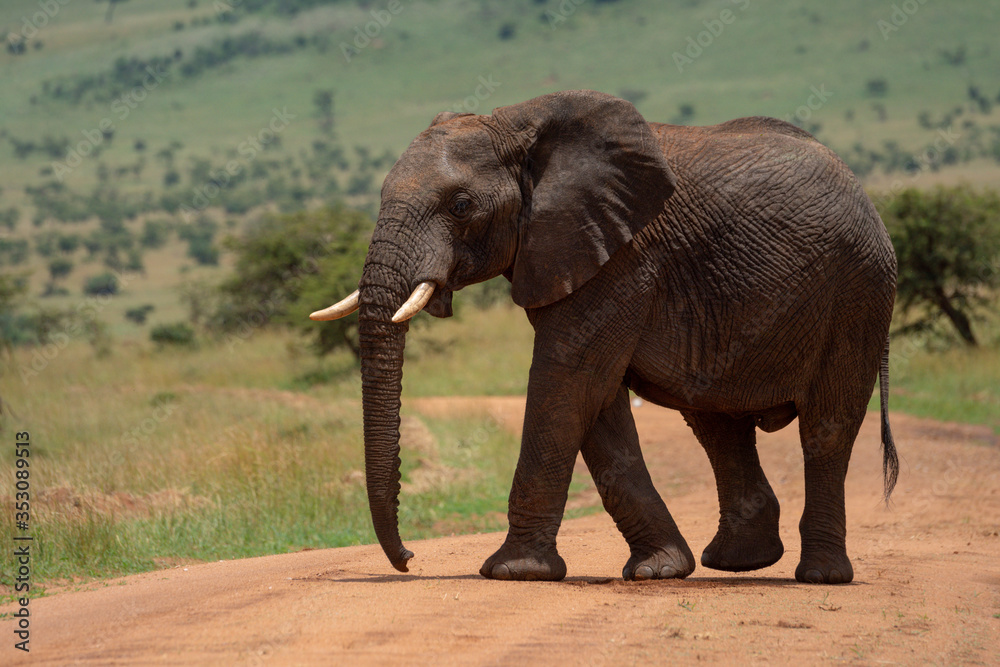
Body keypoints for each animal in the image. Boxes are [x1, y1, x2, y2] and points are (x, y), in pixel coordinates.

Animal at [311, 90, 899, 585]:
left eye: (460, 206)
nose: (409, 559)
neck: (518, 123)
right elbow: (595, 400)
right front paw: (660, 570)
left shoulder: (622, 255)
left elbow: (568, 378)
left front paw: (512, 572)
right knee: (716, 422)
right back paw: (737, 564)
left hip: (858, 294)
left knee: (826, 426)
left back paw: (819, 576)